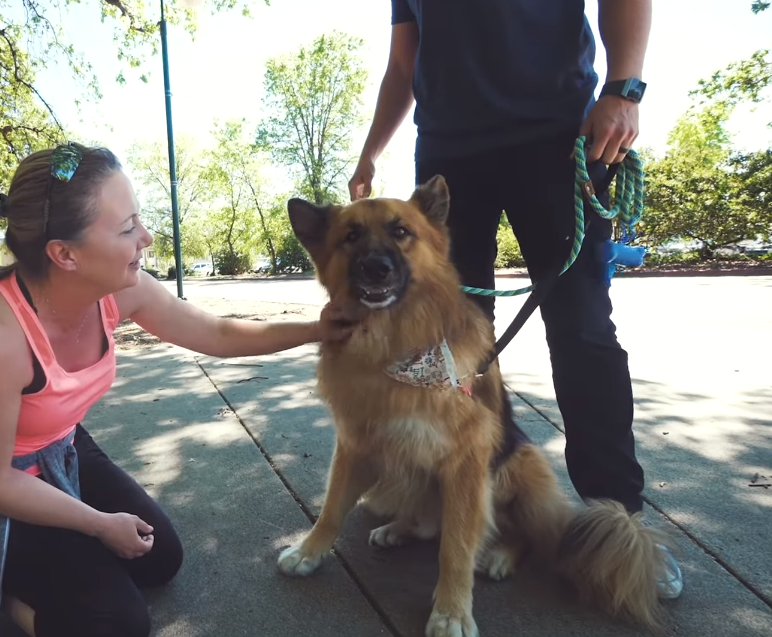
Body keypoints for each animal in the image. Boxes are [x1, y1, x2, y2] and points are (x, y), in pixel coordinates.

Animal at [278, 175, 668, 636]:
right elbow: (332, 508)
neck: (393, 343)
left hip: (520, 469)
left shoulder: (466, 463)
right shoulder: (355, 446)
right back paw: (400, 528)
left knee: (528, 536)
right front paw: (309, 552)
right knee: (426, 523)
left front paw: (451, 611)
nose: (376, 268)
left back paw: (500, 553)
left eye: (401, 231)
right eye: (350, 237)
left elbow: (457, 547)